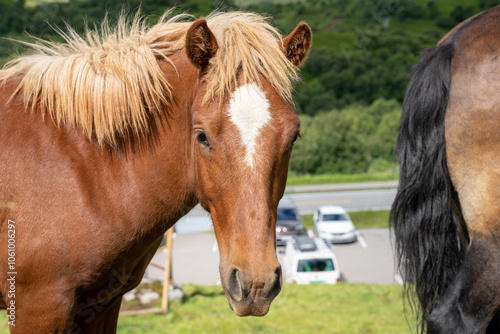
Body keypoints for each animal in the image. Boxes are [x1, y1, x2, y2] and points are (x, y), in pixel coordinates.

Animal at [0, 9, 310, 332]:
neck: (81, 168)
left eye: (293, 137)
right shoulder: (39, 308)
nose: (257, 284)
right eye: (202, 136)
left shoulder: (101, 305)